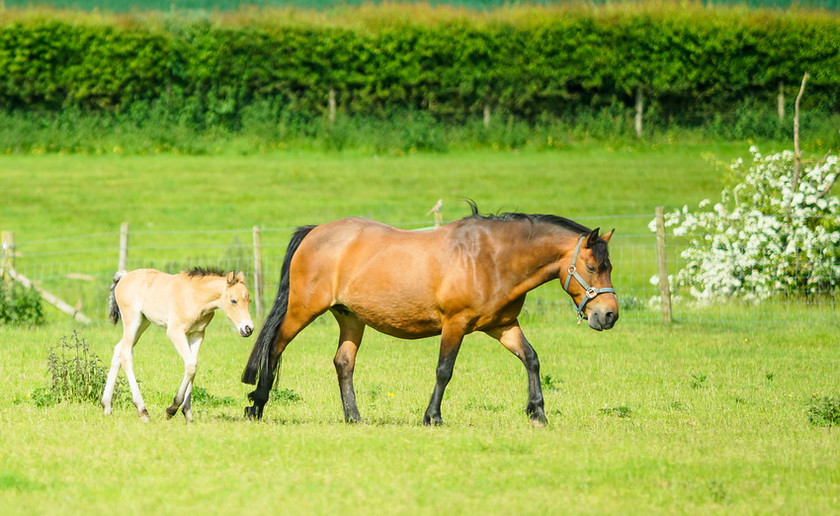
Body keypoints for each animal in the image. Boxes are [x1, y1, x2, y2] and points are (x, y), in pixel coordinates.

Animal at [243, 204, 616, 426]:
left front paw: (537, 411)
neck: (490, 258)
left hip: (351, 317)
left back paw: (354, 417)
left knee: (343, 363)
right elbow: (444, 370)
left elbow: (532, 358)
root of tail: (316, 231)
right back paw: (256, 405)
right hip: (303, 309)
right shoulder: (455, 324)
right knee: (274, 347)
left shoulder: (503, 326)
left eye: (609, 267)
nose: (609, 315)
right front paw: (432, 417)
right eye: (593, 266)